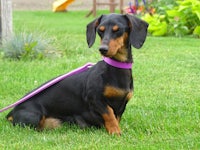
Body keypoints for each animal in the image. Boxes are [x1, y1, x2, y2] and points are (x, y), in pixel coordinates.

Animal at [5, 14, 148, 135]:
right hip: (34, 116)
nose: (102, 49)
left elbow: (116, 116)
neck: (115, 68)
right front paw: (115, 131)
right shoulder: (96, 99)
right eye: (100, 30)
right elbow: (110, 115)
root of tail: (12, 111)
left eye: (117, 30)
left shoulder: (122, 104)